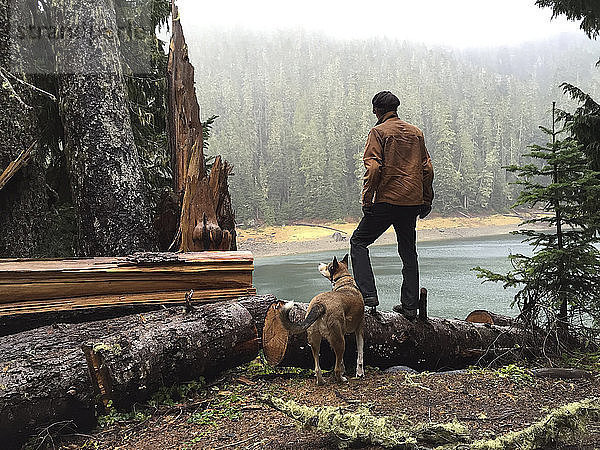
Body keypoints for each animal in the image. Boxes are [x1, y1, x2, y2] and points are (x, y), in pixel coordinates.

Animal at [278, 255, 366, 384]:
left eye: (327, 266)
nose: (319, 263)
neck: (344, 280)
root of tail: (320, 305)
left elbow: (343, 361)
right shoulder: (359, 329)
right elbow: (360, 354)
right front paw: (359, 373)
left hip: (314, 341)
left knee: (317, 367)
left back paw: (321, 381)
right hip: (340, 341)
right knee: (336, 369)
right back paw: (341, 379)